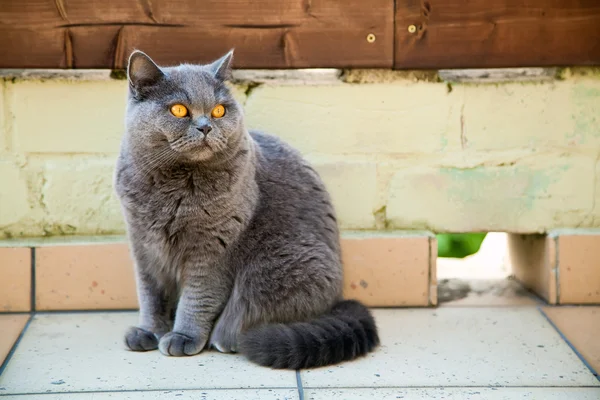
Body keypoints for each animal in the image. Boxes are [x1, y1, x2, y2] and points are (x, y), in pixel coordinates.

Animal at [114, 50, 378, 368]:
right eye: (178, 110)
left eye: (219, 111)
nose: (206, 126)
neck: (171, 189)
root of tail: (337, 299)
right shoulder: (143, 245)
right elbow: (151, 295)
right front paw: (149, 332)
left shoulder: (213, 250)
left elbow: (198, 298)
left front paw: (183, 337)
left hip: (277, 264)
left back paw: (225, 339)